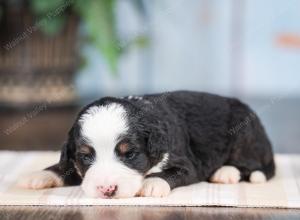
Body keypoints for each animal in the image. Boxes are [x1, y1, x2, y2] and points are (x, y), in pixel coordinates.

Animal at [18, 90, 276, 199]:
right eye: (86, 156)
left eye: (129, 154)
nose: (107, 190)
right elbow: (66, 167)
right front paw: (39, 175)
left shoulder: (187, 163)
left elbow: (171, 173)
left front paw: (152, 184)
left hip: (244, 135)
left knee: (249, 164)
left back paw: (226, 172)